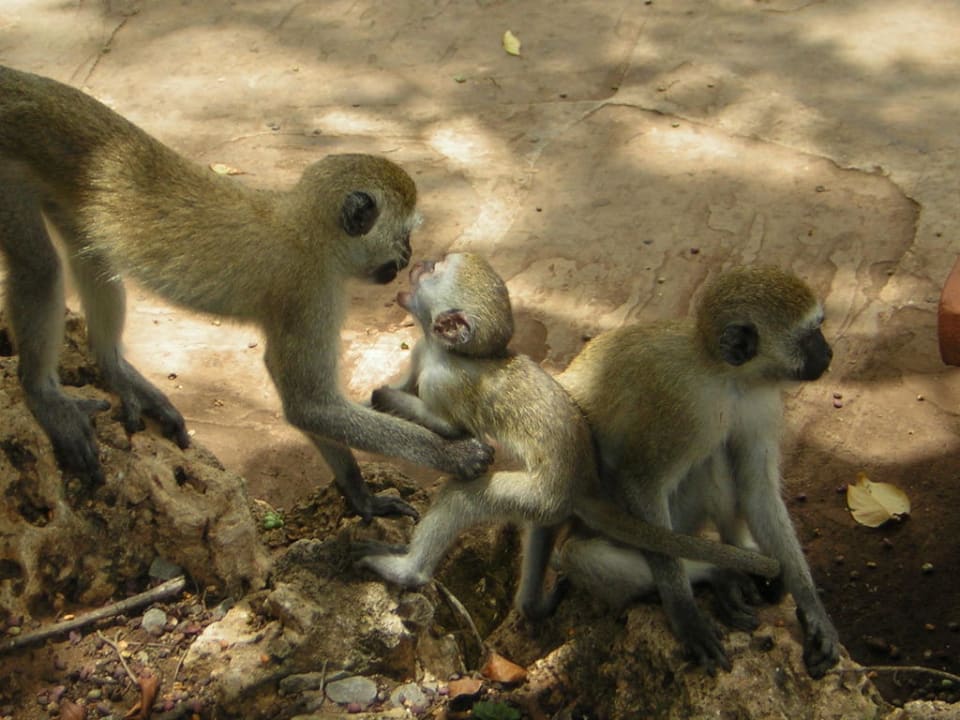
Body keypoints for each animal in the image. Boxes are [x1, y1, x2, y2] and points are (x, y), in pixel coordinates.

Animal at [0, 64, 494, 521]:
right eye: (404, 237)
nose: (408, 257)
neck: (307, 230)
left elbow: (309, 407)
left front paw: (359, 495)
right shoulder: (310, 292)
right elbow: (309, 405)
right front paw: (452, 455)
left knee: (93, 254)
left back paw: (114, 368)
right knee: (39, 268)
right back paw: (43, 394)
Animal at [354, 252, 781, 617]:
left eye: (434, 269)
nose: (417, 263)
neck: (446, 353)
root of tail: (583, 483)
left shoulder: (445, 383)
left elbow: (451, 429)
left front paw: (385, 397)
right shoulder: (420, 354)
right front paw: (375, 399)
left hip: (542, 497)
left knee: (464, 498)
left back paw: (407, 571)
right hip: (550, 506)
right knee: (538, 533)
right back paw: (533, 606)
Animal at [553, 265, 839, 678]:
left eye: (819, 329)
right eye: (809, 335)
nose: (828, 352)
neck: (726, 376)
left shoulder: (761, 401)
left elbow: (758, 492)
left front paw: (813, 608)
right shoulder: (687, 409)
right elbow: (640, 483)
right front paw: (684, 610)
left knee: (716, 456)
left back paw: (737, 555)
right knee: (583, 554)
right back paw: (718, 574)